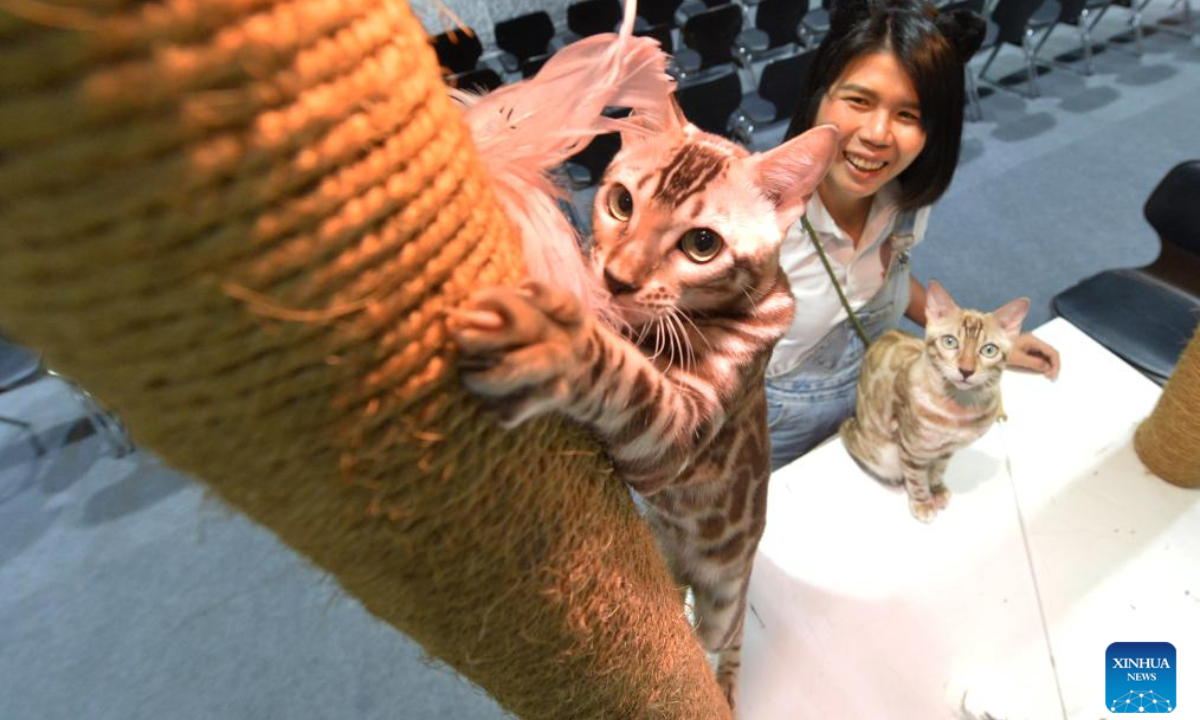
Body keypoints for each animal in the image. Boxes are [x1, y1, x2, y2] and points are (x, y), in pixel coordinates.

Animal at [451, 102, 835, 710]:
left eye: (702, 244)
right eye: (622, 203)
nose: (617, 278)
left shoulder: (673, 438)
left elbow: (626, 377)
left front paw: (555, 340)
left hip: (725, 596)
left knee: (727, 637)